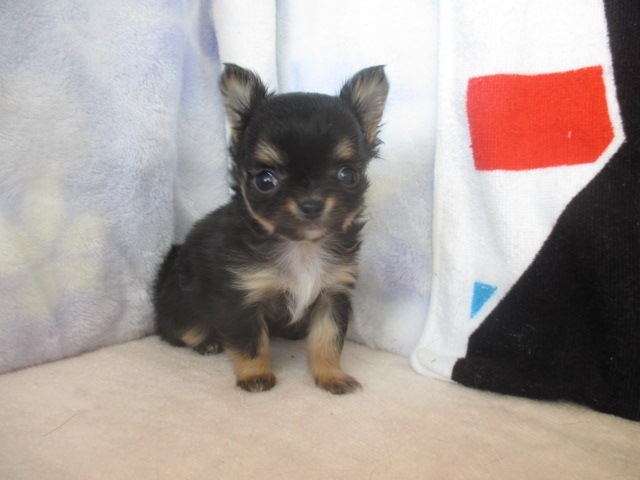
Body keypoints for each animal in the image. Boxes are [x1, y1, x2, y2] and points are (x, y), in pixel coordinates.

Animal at [153, 63, 388, 394]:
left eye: (347, 175)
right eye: (265, 180)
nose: (311, 204)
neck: (302, 247)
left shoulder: (332, 293)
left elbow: (327, 341)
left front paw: (331, 376)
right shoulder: (241, 297)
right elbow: (251, 342)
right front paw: (255, 375)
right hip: (181, 305)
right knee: (179, 330)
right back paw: (207, 342)